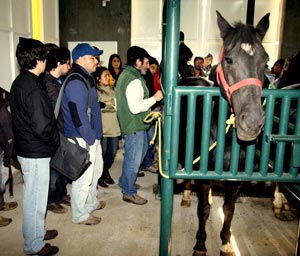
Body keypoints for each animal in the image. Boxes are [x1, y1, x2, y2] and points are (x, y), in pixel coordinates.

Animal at [176, 11, 270, 255]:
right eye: (229, 59)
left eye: (265, 60)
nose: (252, 123)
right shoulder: (204, 175)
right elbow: (204, 210)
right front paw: (200, 244)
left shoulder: (235, 178)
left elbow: (229, 208)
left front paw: (226, 242)